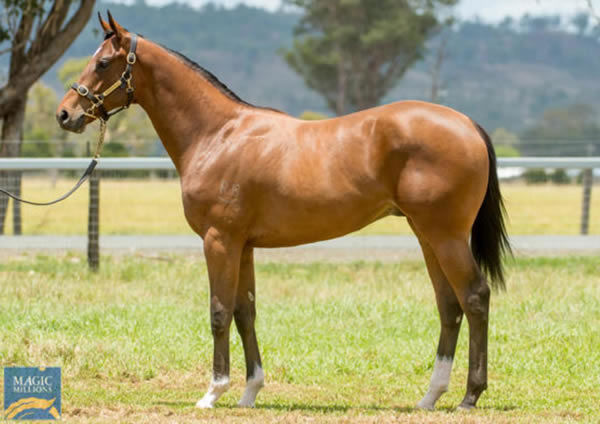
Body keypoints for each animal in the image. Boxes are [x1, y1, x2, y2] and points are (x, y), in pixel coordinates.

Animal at [56, 12, 508, 410]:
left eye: (103, 62)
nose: (65, 114)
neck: (217, 134)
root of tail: (467, 124)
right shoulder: (243, 246)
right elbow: (245, 312)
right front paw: (249, 392)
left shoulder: (219, 241)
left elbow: (219, 312)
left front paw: (212, 393)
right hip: (427, 235)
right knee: (449, 306)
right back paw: (430, 397)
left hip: (446, 236)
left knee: (474, 297)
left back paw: (470, 396)